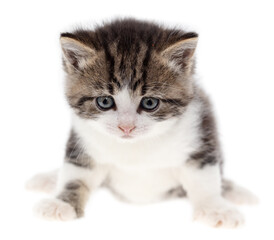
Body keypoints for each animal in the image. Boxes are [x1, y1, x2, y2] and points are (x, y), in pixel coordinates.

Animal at [26, 18, 256, 227]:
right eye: (104, 101)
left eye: (150, 103)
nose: (126, 127)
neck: (135, 148)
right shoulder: (82, 140)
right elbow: (75, 174)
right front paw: (61, 203)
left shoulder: (199, 132)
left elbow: (204, 177)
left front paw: (215, 208)